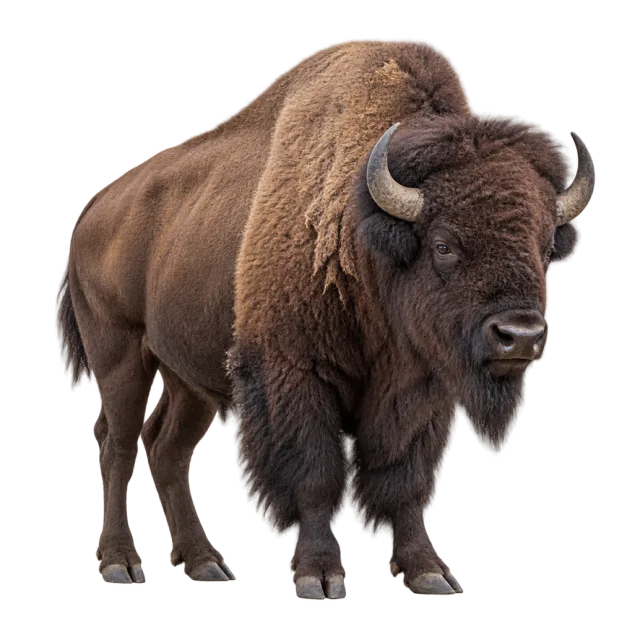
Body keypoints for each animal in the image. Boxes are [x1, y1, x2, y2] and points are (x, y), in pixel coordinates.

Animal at [55, 37, 595, 598]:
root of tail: (95, 210)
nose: (520, 336)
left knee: (166, 448)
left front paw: (429, 572)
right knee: (117, 445)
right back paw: (120, 565)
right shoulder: (295, 376)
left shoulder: (423, 390)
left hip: (187, 378)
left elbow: (406, 483)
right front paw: (320, 576)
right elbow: (316, 477)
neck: (363, 233)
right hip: (120, 356)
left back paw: (206, 563)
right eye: (444, 245)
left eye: (543, 247)